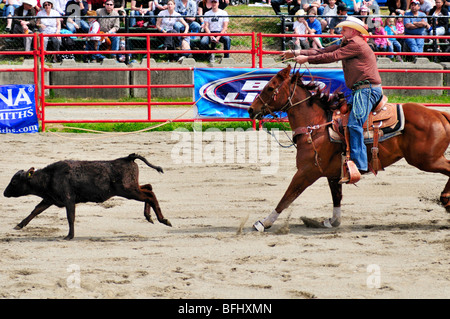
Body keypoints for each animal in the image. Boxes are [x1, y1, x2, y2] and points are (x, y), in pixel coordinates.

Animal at [248, 65, 450, 231]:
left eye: (270, 88)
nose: (251, 109)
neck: (317, 125)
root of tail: (439, 114)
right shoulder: (332, 173)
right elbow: (336, 198)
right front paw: (332, 221)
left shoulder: (307, 171)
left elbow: (287, 197)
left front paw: (263, 223)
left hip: (427, 160)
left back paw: (445, 199)